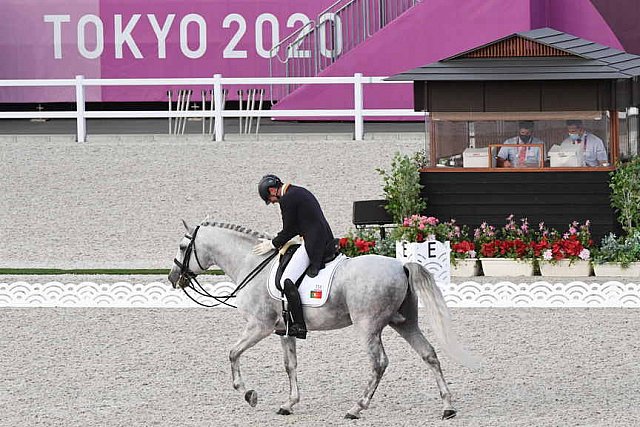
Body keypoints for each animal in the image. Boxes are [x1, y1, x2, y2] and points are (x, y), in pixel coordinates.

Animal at [168, 221, 478, 422]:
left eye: (183, 246)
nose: (173, 278)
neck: (251, 265)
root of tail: (400, 265)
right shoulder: (284, 331)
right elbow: (290, 365)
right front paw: (289, 404)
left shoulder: (260, 326)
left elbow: (232, 353)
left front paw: (249, 394)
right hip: (404, 323)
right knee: (429, 354)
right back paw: (447, 407)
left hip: (368, 327)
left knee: (379, 364)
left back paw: (356, 408)